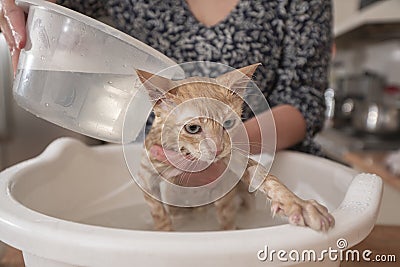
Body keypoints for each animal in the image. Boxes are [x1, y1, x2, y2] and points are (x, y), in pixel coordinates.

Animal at [136, 64, 332, 232]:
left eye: (228, 123)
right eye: (192, 128)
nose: (218, 149)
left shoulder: (230, 161)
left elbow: (264, 178)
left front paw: (297, 204)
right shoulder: (146, 174)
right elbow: (159, 213)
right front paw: (165, 231)